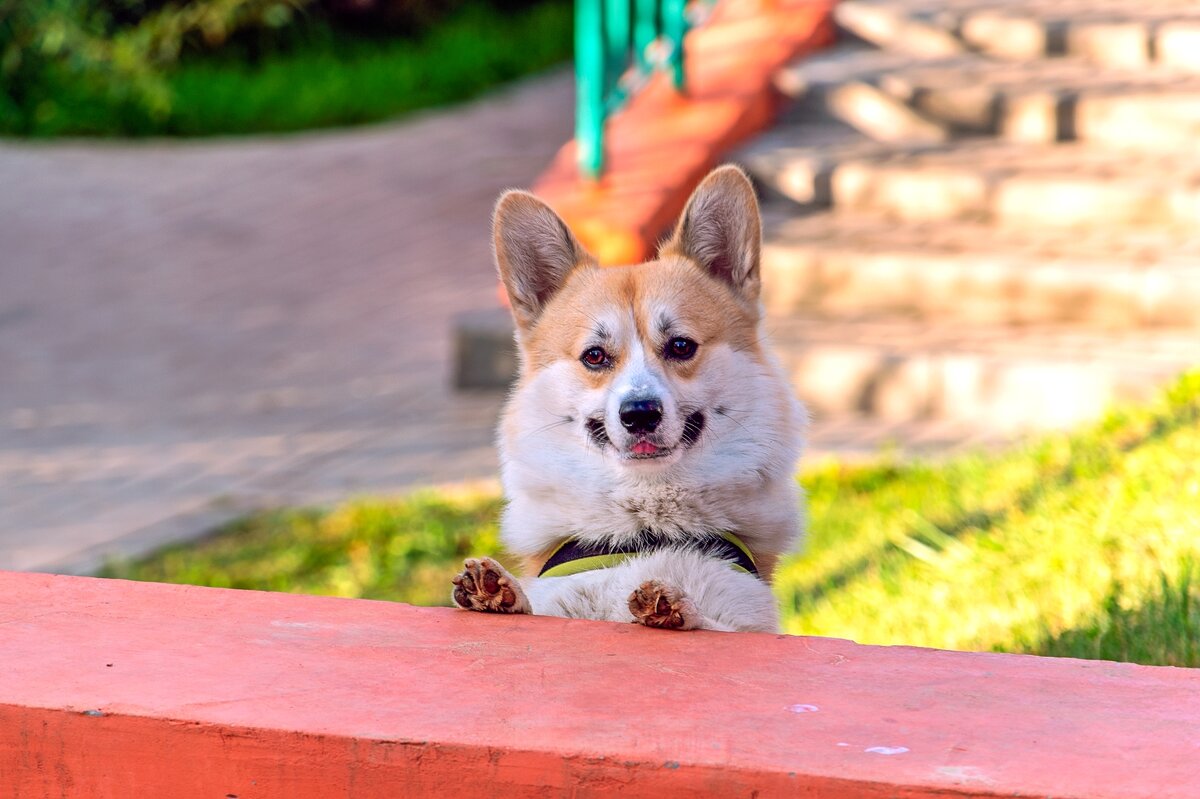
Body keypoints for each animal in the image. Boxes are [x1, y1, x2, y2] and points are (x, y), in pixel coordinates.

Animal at [451, 164, 806, 633]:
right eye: (594, 356)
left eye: (681, 346)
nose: (639, 414)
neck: (642, 533)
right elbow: (539, 607)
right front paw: (501, 593)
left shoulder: (745, 620)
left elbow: (714, 625)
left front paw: (677, 608)